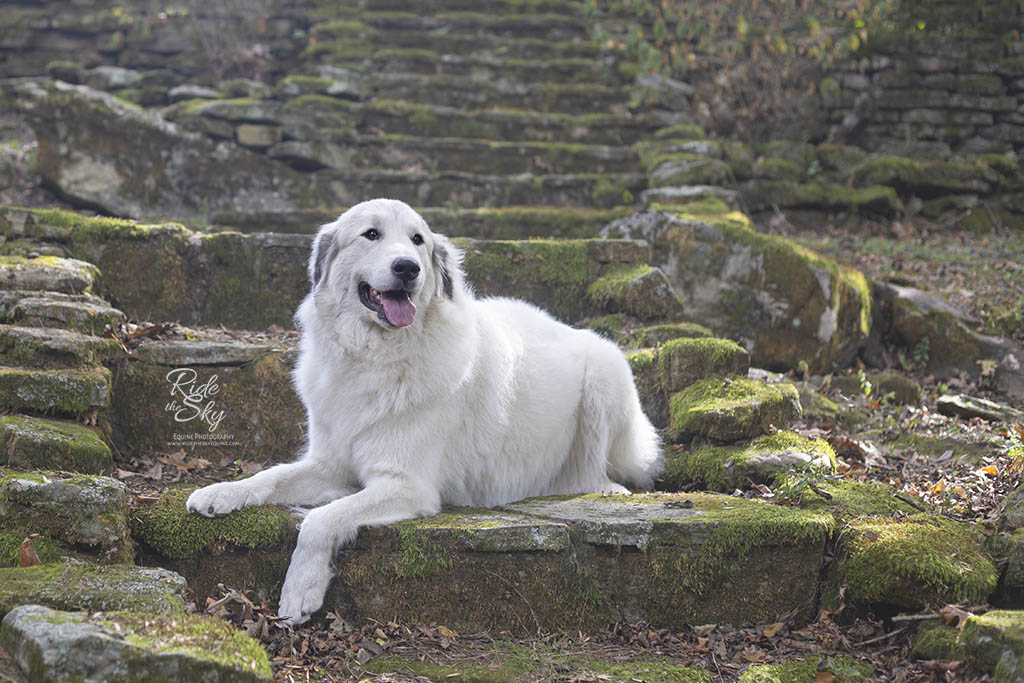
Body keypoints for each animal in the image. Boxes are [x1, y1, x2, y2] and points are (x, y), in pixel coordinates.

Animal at [186, 197, 663, 626]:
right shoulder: (331, 465)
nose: (407, 268)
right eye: (371, 234)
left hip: (606, 371)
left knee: (596, 470)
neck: (375, 356)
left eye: (417, 240)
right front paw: (220, 493)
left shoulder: (408, 486)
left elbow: (321, 520)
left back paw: (601, 489)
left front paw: (300, 590)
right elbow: (270, 477)